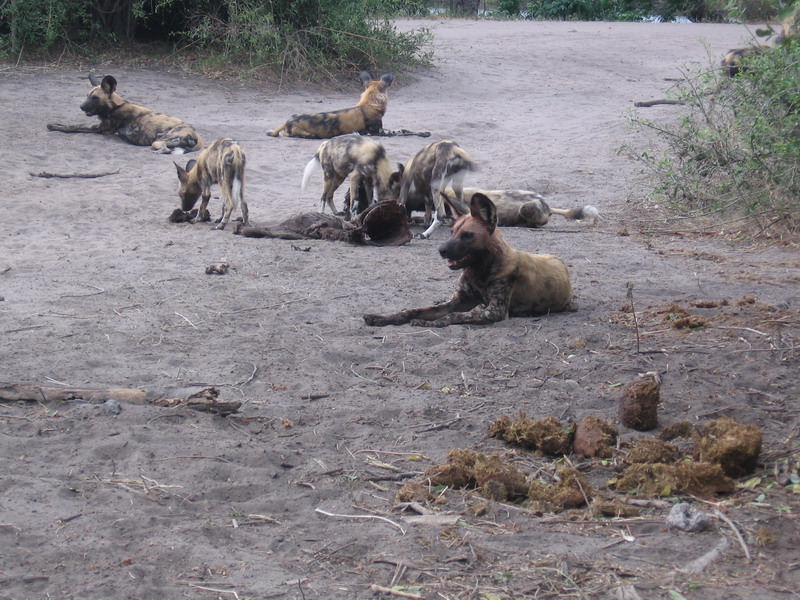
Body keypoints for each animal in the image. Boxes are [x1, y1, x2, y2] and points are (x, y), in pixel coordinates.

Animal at [47, 73, 203, 154]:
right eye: (87, 96)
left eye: (95, 98)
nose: (81, 107)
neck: (115, 106)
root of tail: (197, 136)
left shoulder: (101, 128)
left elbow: (73, 126)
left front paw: (55, 126)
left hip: (161, 139)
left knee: (163, 149)